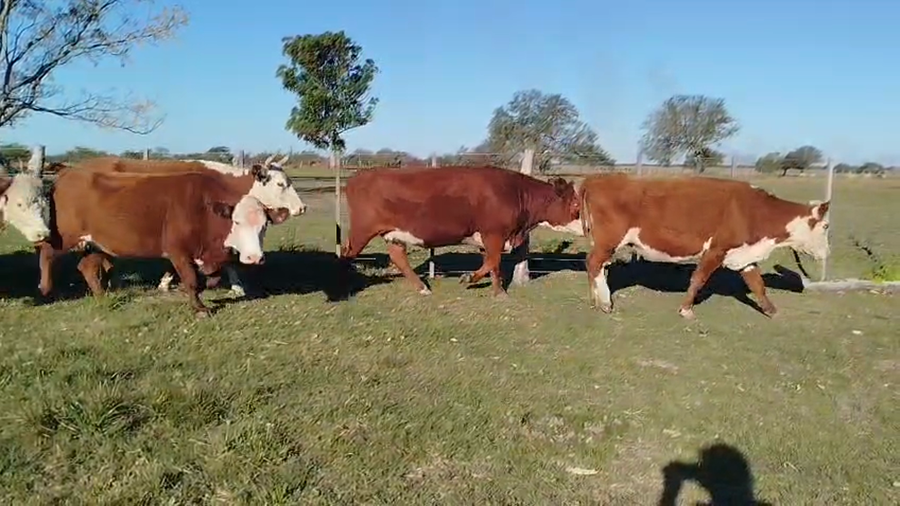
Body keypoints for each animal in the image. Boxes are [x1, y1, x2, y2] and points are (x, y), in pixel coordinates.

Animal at [37, 168, 289, 316]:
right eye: (236, 222)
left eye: (264, 225)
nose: (254, 257)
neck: (203, 209)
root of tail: (68, 174)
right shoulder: (178, 251)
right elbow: (191, 280)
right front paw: (199, 308)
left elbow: (212, 279)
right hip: (64, 236)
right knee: (47, 252)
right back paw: (45, 287)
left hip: (94, 242)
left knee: (87, 266)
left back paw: (102, 296)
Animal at [340, 165, 582, 297]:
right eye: (576, 204)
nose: (586, 227)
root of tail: (357, 177)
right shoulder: (494, 233)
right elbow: (493, 262)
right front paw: (468, 278)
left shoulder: (489, 238)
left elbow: (493, 265)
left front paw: (499, 292)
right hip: (362, 230)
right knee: (346, 253)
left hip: (394, 234)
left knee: (398, 257)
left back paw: (422, 288)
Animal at [579, 173, 830, 319]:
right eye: (826, 226)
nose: (827, 252)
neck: (754, 211)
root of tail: (597, 179)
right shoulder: (716, 250)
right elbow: (699, 279)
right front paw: (686, 309)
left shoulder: (743, 255)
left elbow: (758, 284)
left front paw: (771, 310)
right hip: (609, 240)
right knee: (593, 263)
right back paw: (604, 303)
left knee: (595, 266)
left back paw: (596, 299)